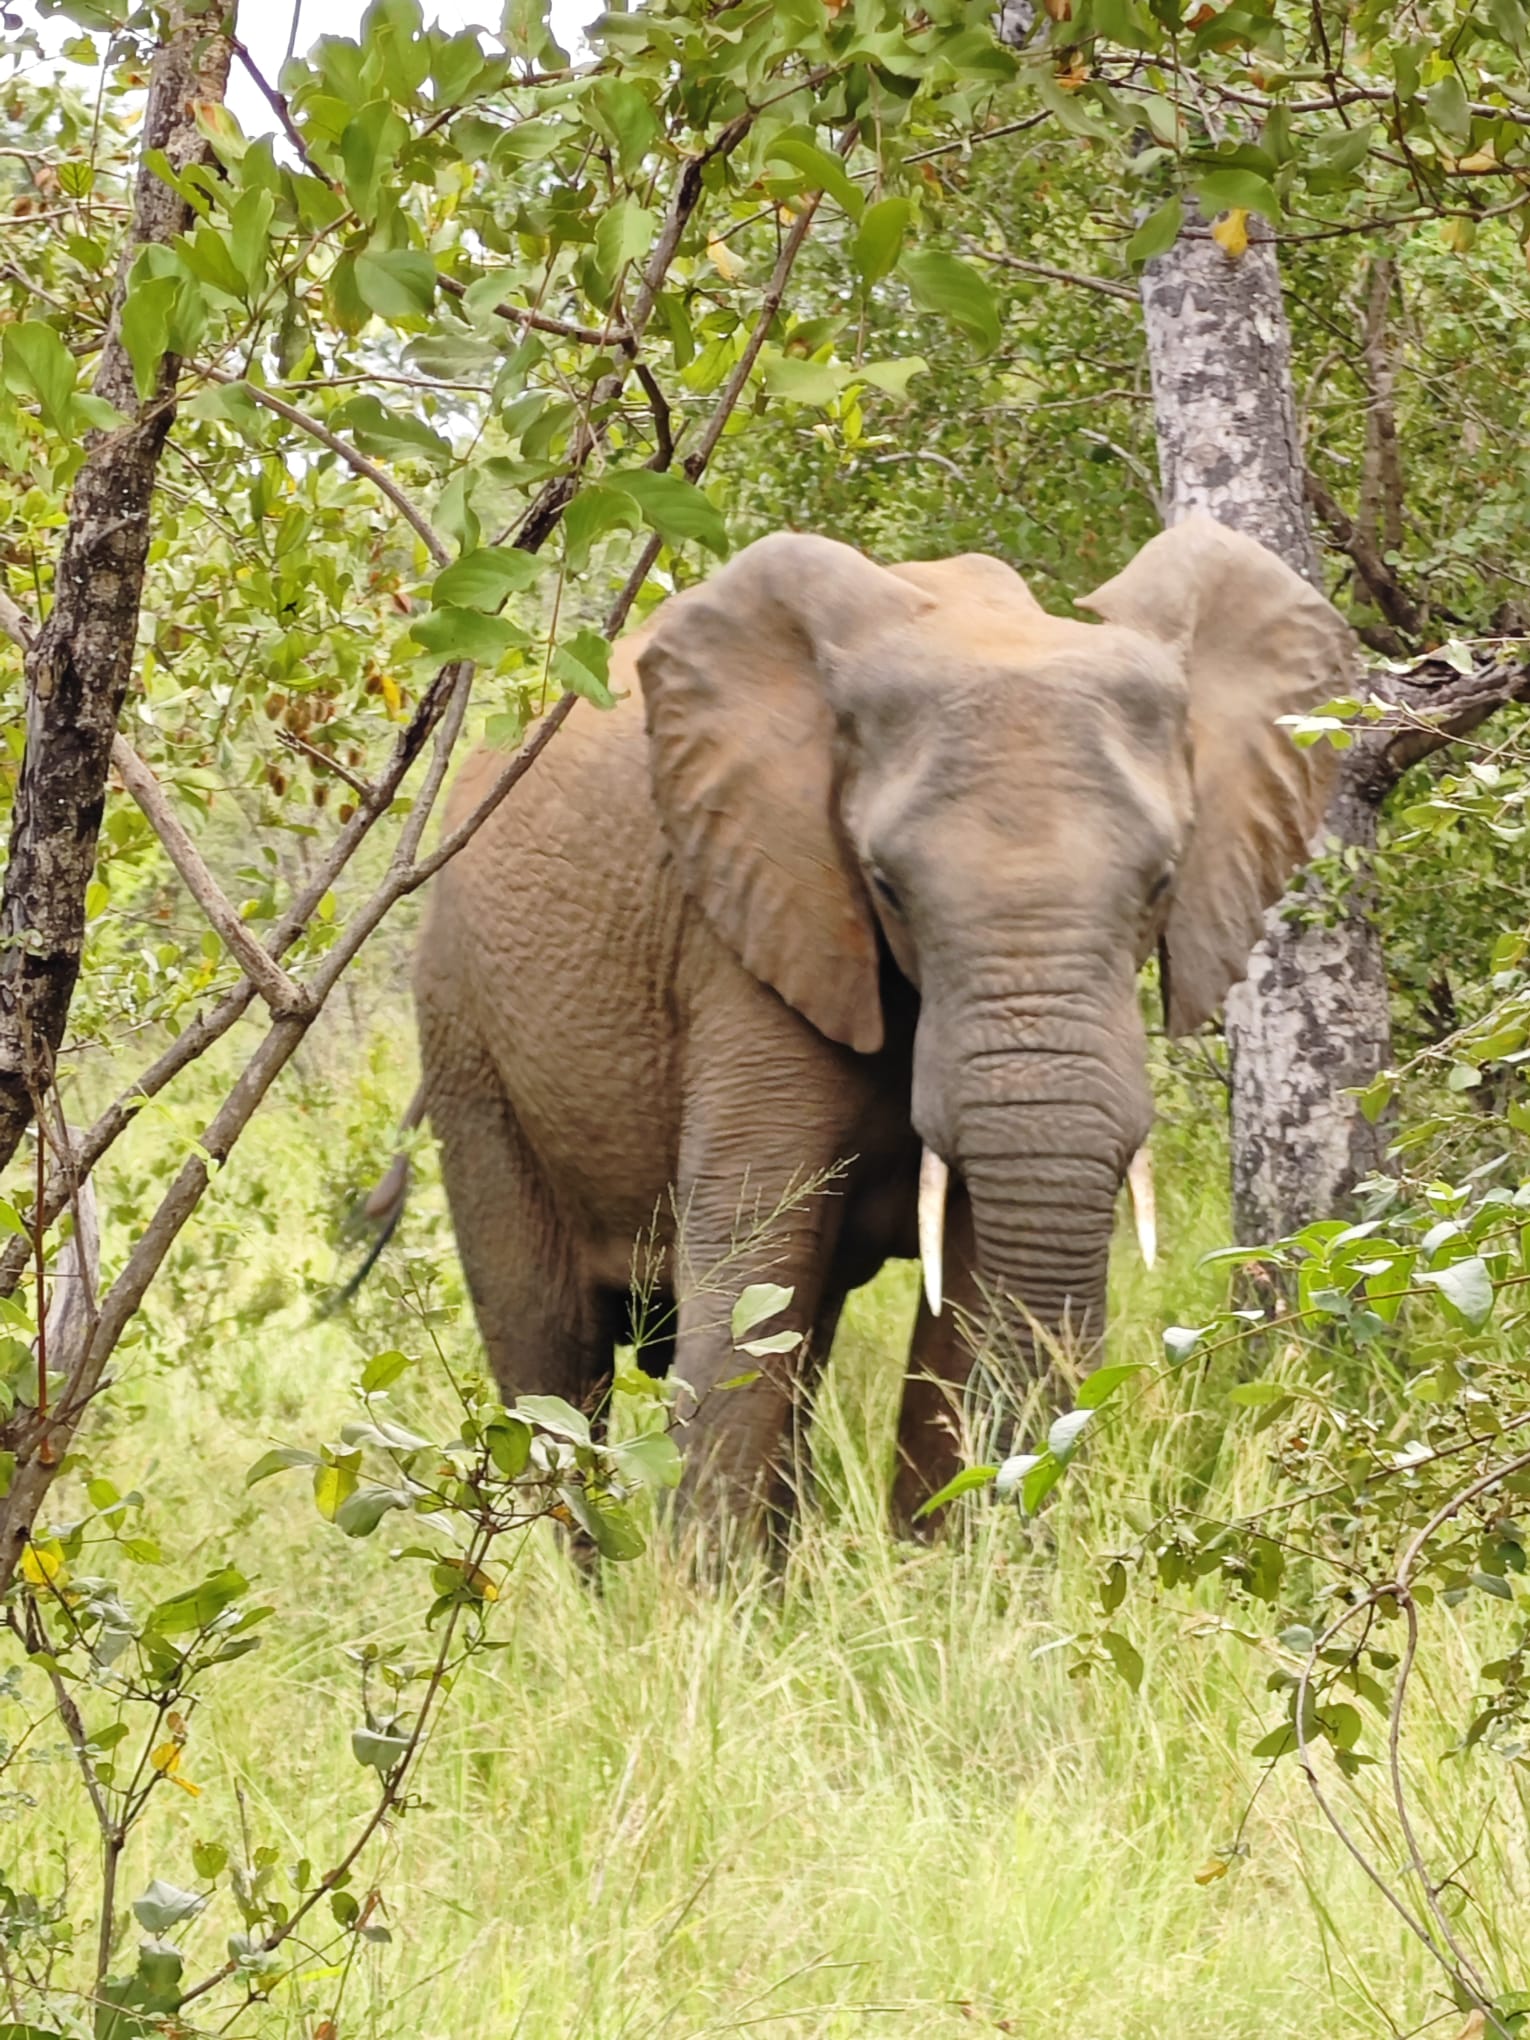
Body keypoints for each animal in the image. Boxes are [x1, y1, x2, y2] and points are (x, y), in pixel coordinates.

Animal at [416, 514, 1354, 1534]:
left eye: (1162, 883)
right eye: (887, 888)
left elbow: (968, 1282)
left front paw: (951, 1561)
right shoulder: (748, 928)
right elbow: (753, 1264)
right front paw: (703, 1583)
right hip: (465, 1035)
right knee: (550, 1351)